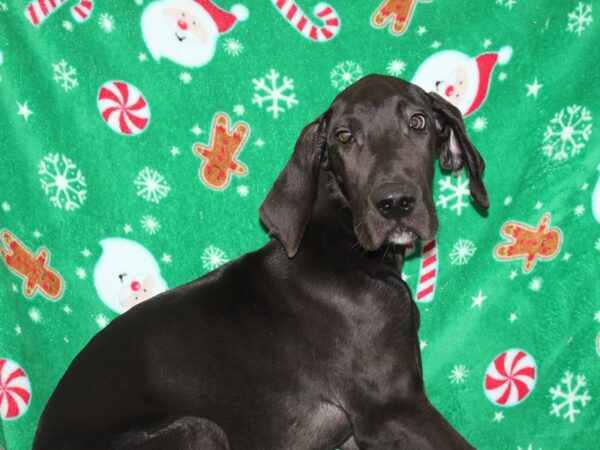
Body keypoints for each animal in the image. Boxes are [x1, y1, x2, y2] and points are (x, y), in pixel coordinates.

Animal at [34, 75, 488, 448]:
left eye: (418, 122)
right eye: (344, 136)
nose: (395, 203)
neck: (344, 246)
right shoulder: (392, 410)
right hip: (198, 430)